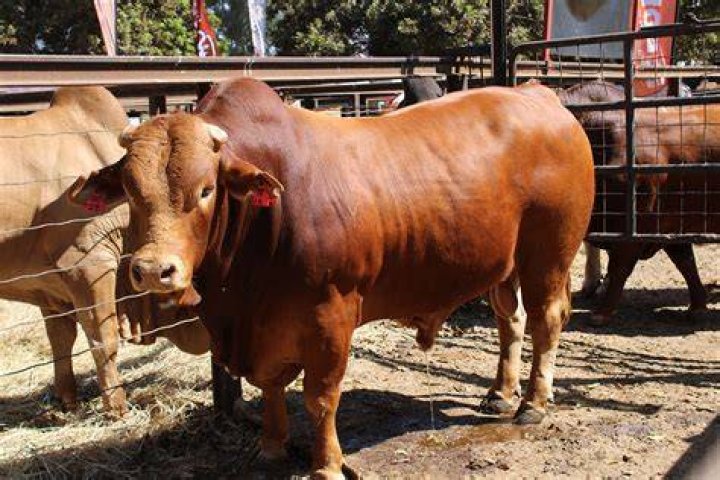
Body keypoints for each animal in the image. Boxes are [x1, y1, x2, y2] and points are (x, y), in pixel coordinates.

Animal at [0, 87, 209, 416]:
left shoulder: (50, 289)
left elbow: (61, 341)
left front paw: (67, 400)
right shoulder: (87, 264)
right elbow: (103, 339)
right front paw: (116, 406)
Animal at [71, 77, 594, 478]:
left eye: (205, 189)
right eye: (130, 191)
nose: (153, 269)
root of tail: (537, 93)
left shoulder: (331, 315)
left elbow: (320, 398)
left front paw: (326, 464)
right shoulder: (264, 327)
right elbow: (271, 386)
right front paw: (271, 445)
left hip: (548, 254)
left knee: (546, 321)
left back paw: (533, 402)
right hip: (504, 266)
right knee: (511, 322)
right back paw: (500, 394)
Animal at [559, 80, 714, 324]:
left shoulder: (635, 221)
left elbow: (620, 265)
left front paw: (601, 312)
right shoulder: (668, 222)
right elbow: (685, 261)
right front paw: (697, 306)